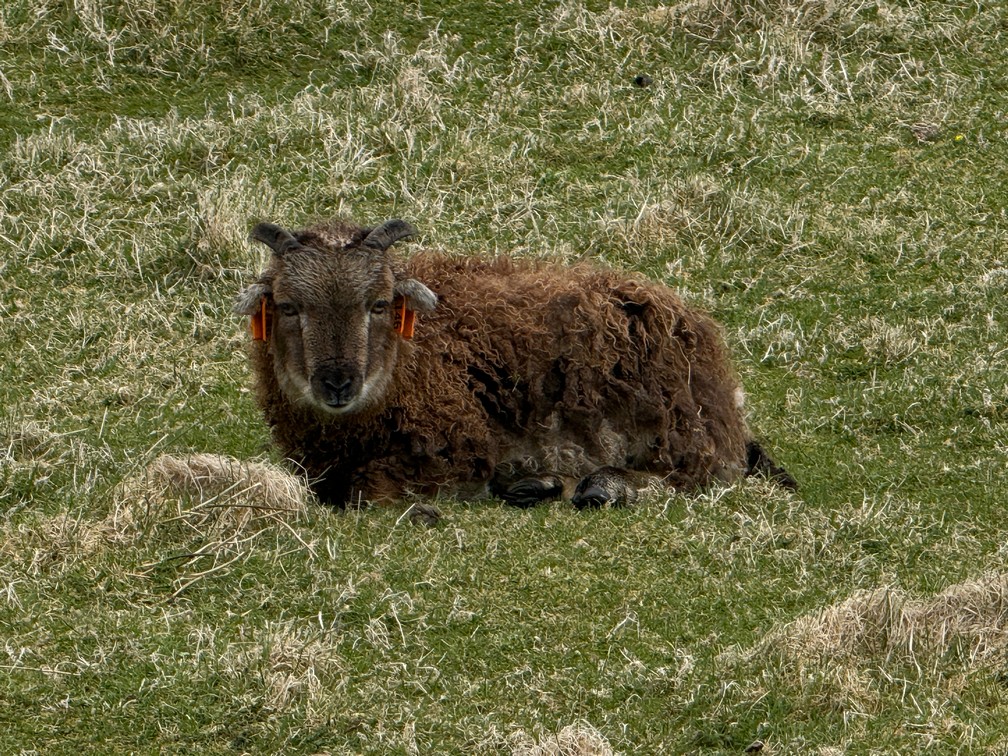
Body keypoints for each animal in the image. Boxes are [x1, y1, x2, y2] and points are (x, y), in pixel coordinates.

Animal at [234, 218, 795, 509]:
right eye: (288, 307)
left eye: (380, 304)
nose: (337, 382)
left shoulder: (456, 449)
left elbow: (364, 489)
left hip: (678, 431)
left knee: (693, 476)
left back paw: (597, 485)